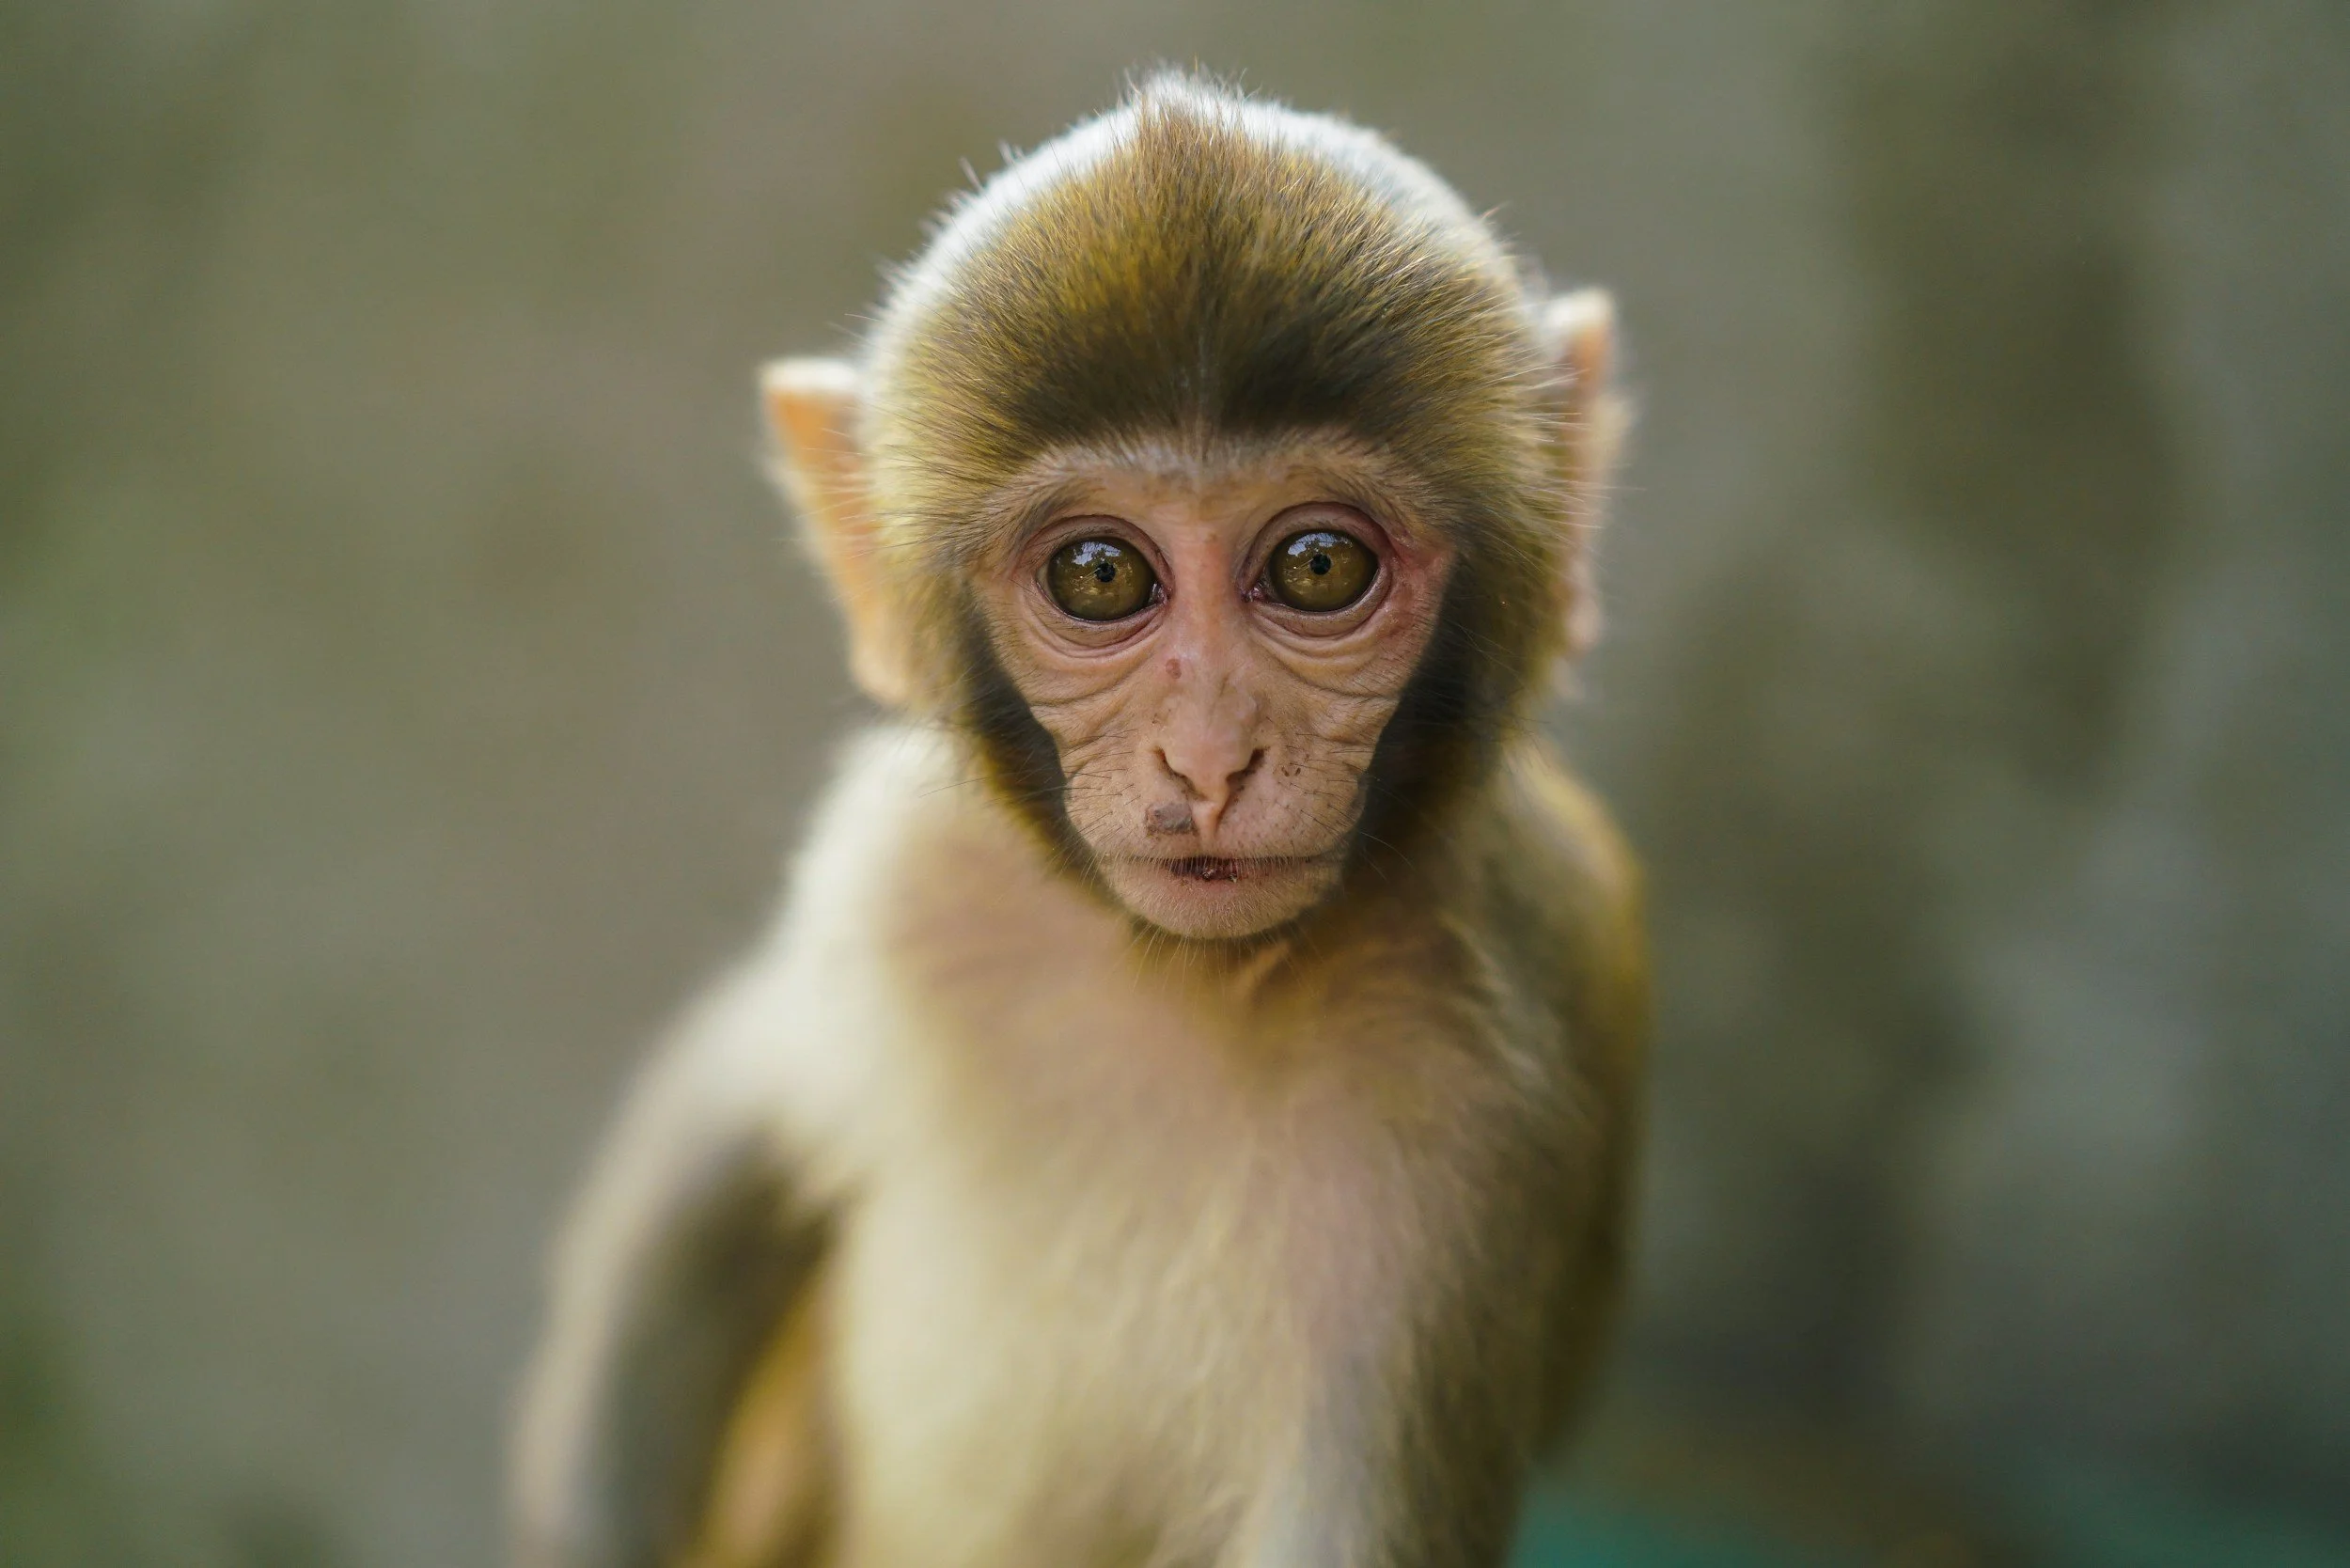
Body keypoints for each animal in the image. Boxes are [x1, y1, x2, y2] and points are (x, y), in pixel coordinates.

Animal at [510, 72, 1645, 1568]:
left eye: (1317, 566)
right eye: (1101, 576)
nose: (1210, 756)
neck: (1192, 979)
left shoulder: (1472, 1103)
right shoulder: (906, 878)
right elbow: (724, 1131)